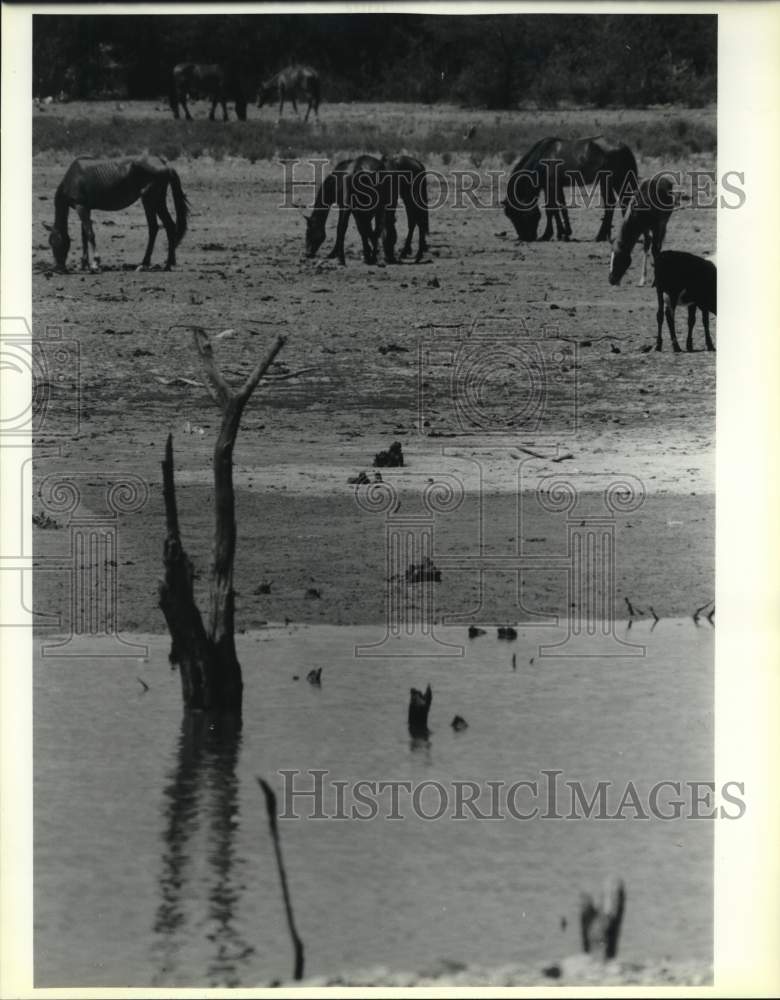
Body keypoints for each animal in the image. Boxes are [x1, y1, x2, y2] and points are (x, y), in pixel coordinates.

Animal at [45, 153, 190, 272]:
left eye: (54, 241)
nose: (59, 268)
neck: (73, 176)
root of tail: (164, 163)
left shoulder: (81, 207)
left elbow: (90, 234)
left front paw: (95, 263)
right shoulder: (86, 208)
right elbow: (84, 236)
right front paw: (84, 264)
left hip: (149, 200)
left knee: (154, 227)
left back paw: (145, 264)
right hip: (158, 201)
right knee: (168, 226)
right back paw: (168, 264)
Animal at [502, 136, 636, 243]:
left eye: (516, 215)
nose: (525, 238)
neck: (543, 156)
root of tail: (623, 146)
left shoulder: (551, 185)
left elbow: (551, 209)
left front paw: (548, 235)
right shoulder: (555, 186)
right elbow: (561, 208)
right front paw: (564, 233)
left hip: (607, 181)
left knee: (610, 205)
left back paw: (600, 236)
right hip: (619, 181)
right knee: (624, 203)